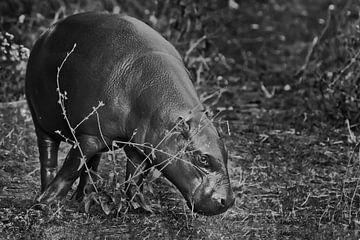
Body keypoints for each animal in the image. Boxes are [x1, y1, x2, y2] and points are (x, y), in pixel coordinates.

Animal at [24, 12, 233, 216]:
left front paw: (143, 207)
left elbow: (135, 176)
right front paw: (44, 203)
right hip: (43, 121)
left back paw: (85, 197)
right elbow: (71, 167)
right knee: (49, 157)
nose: (228, 202)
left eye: (226, 152)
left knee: (92, 164)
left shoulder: (141, 145)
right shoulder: (91, 135)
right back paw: (47, 196)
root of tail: (47, 32)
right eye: (202, 158)